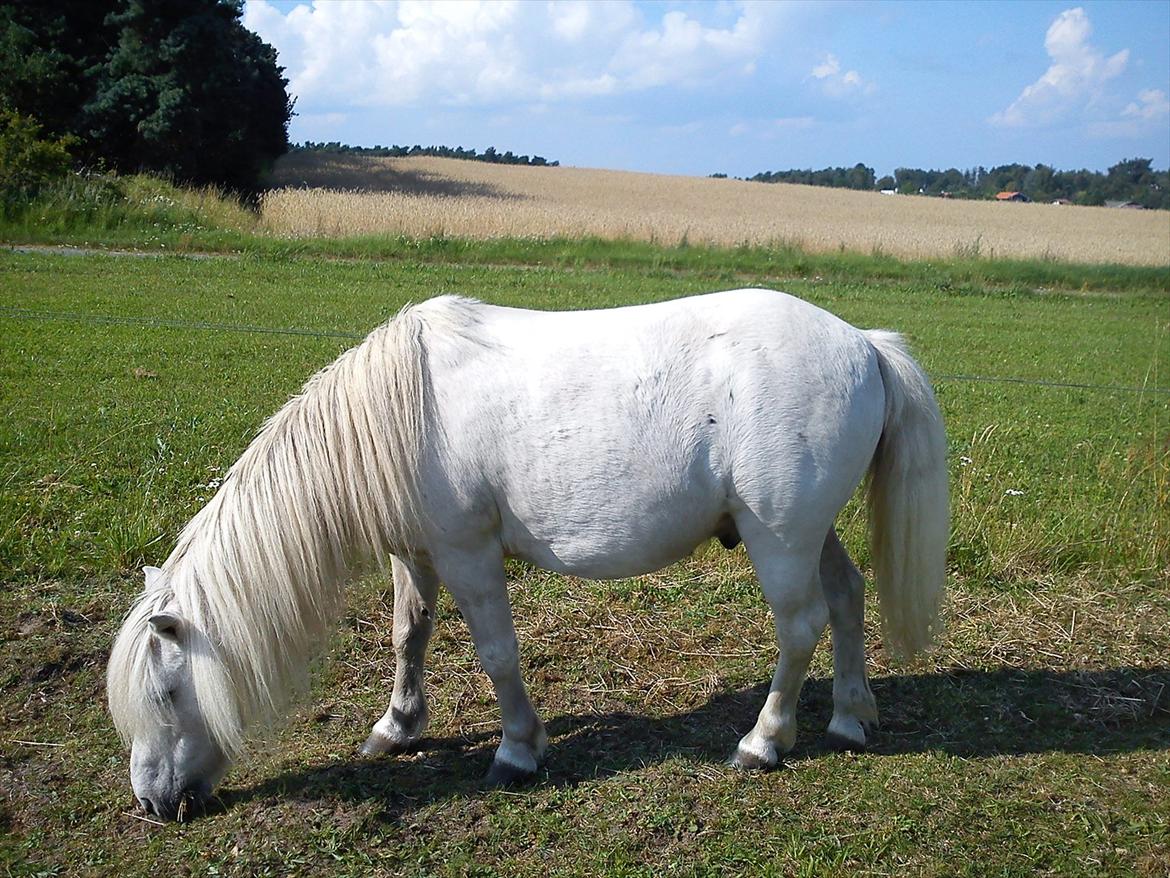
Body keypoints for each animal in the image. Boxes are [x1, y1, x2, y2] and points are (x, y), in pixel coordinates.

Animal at [107, 288, 948, 821]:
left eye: (168, 695)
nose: (150, 802)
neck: (398, 412)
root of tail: (864, 345)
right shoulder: (416, 555)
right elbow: (408, 636)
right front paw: (396, 727)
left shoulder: (467, 552)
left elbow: (496, 653)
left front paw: (517, 750)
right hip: (806, 532)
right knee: (846, 596)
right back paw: (850, 717)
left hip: (779, 538)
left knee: (801, 626)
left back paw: (763, 742)